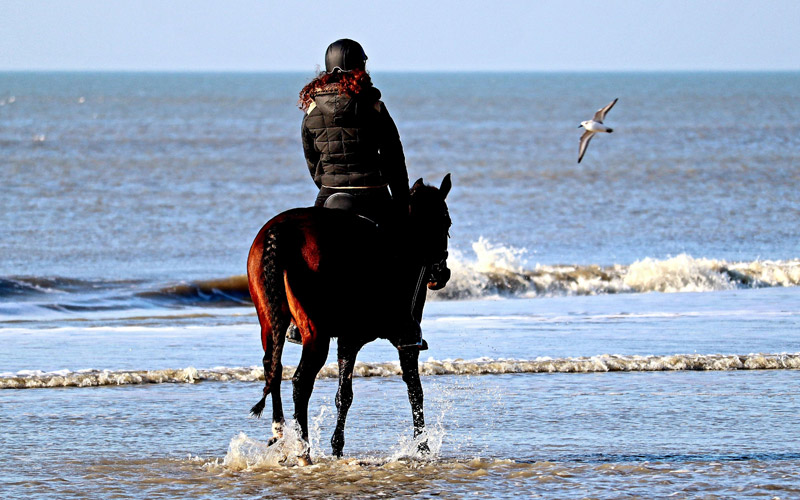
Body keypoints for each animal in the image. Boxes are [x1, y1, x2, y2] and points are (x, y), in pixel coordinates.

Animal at [247, 174, 450, 462]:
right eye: (446, 222)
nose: (440, 273)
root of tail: (280, 231)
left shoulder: (347, 340)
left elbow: (344, 395)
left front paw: (337, 447)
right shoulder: (402, 341)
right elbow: (414, 390)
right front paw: (423, 447)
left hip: (270, 321)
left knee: (272, 368)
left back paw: (281, 434)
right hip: (316, 333)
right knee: (301, 382)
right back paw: (302, 450)